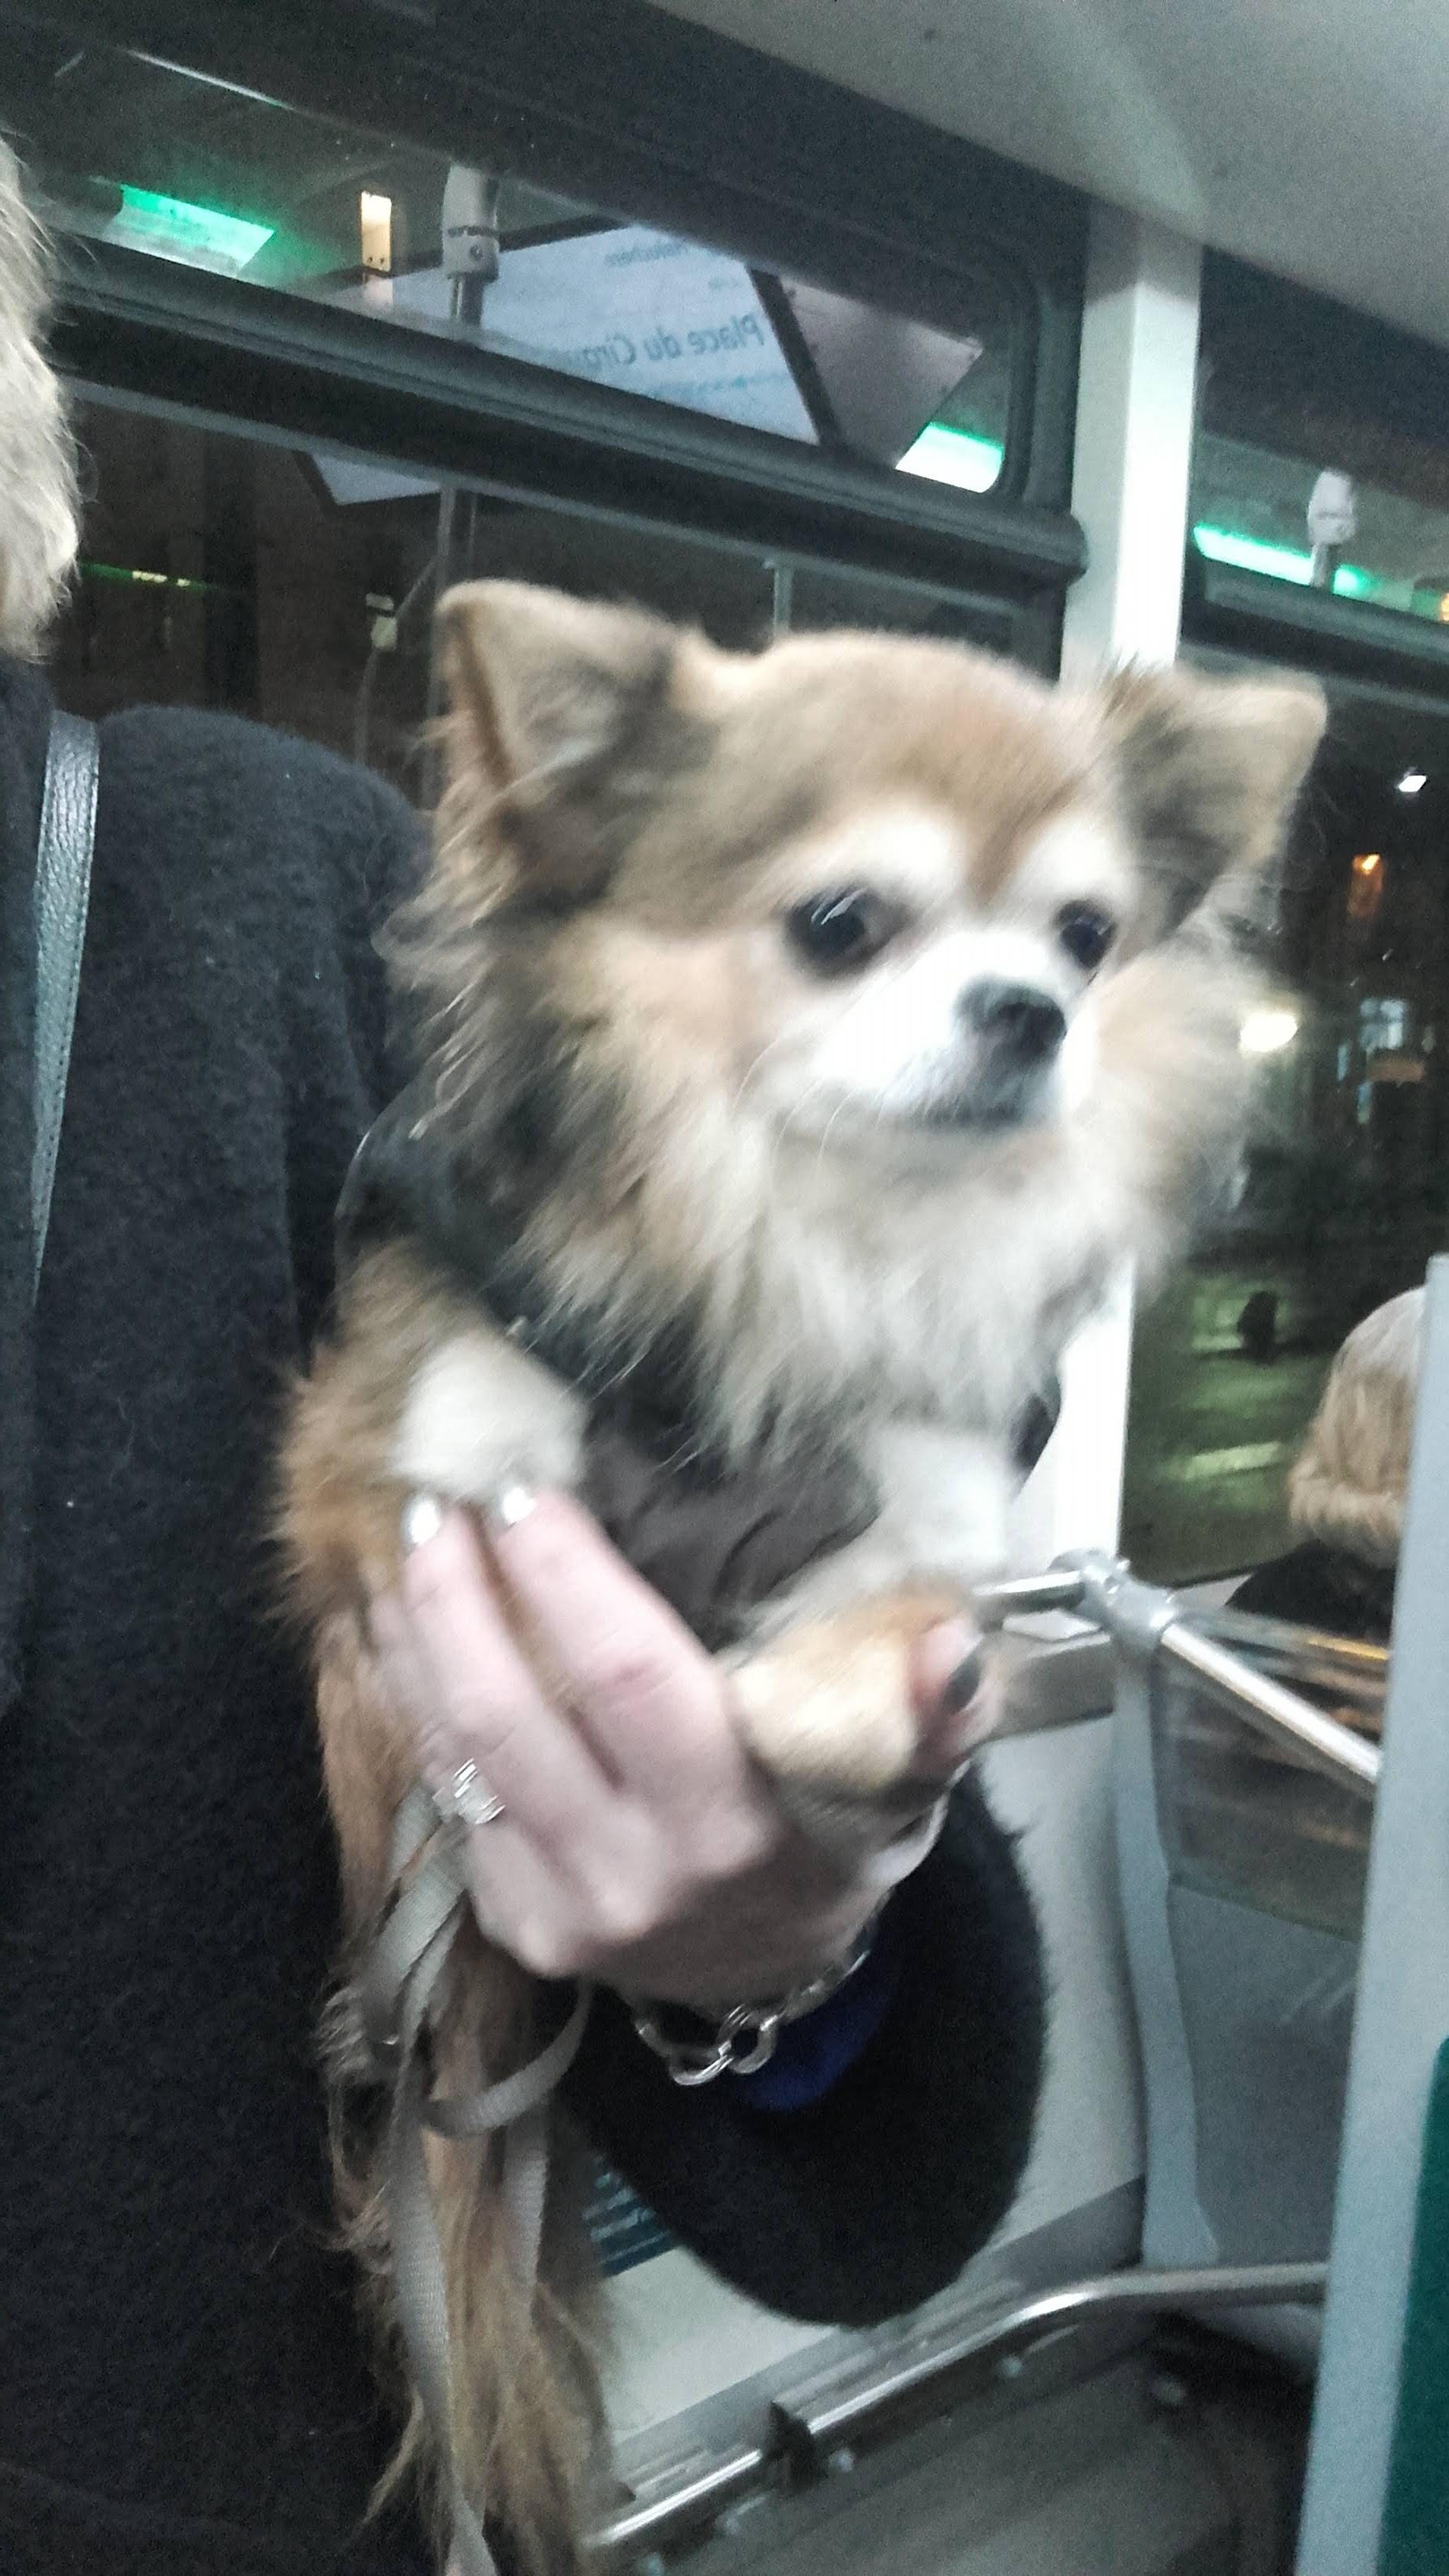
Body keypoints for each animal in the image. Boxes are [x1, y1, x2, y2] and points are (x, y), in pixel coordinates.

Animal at [282, 581, 1324, 2569]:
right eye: (843, 925)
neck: (804, 1239)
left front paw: (818, 1695)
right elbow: (502, 1545)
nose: (1031, 1010)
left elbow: (912, 1602)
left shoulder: (925, 1482)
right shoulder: (413, 1469)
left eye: (1086, 936)